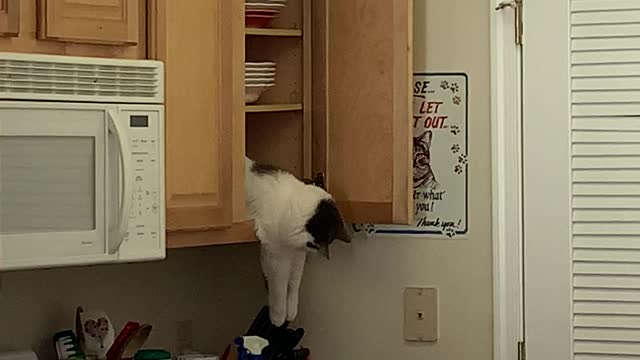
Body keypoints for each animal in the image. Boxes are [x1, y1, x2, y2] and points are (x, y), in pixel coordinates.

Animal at [245, 155, 352, 326]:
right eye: (316, 243)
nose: (320, 251)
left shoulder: (297, 256)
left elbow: (294, 284)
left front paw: (291, 313)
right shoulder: (276, 257)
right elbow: (280, 288)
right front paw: (278, 318)